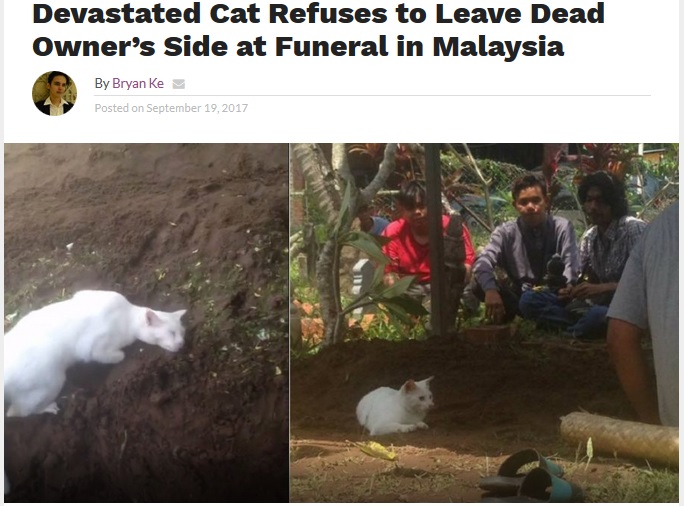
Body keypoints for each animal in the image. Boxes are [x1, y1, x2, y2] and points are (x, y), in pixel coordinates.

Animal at [3, 290, 187, 492]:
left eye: (182, 332)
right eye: (171, 333)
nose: (181, 344)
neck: (128, 315)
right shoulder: (94, 348)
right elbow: (117, 355)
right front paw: (121, 355)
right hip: (51, 382)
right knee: (16, 411)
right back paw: (49, 407)